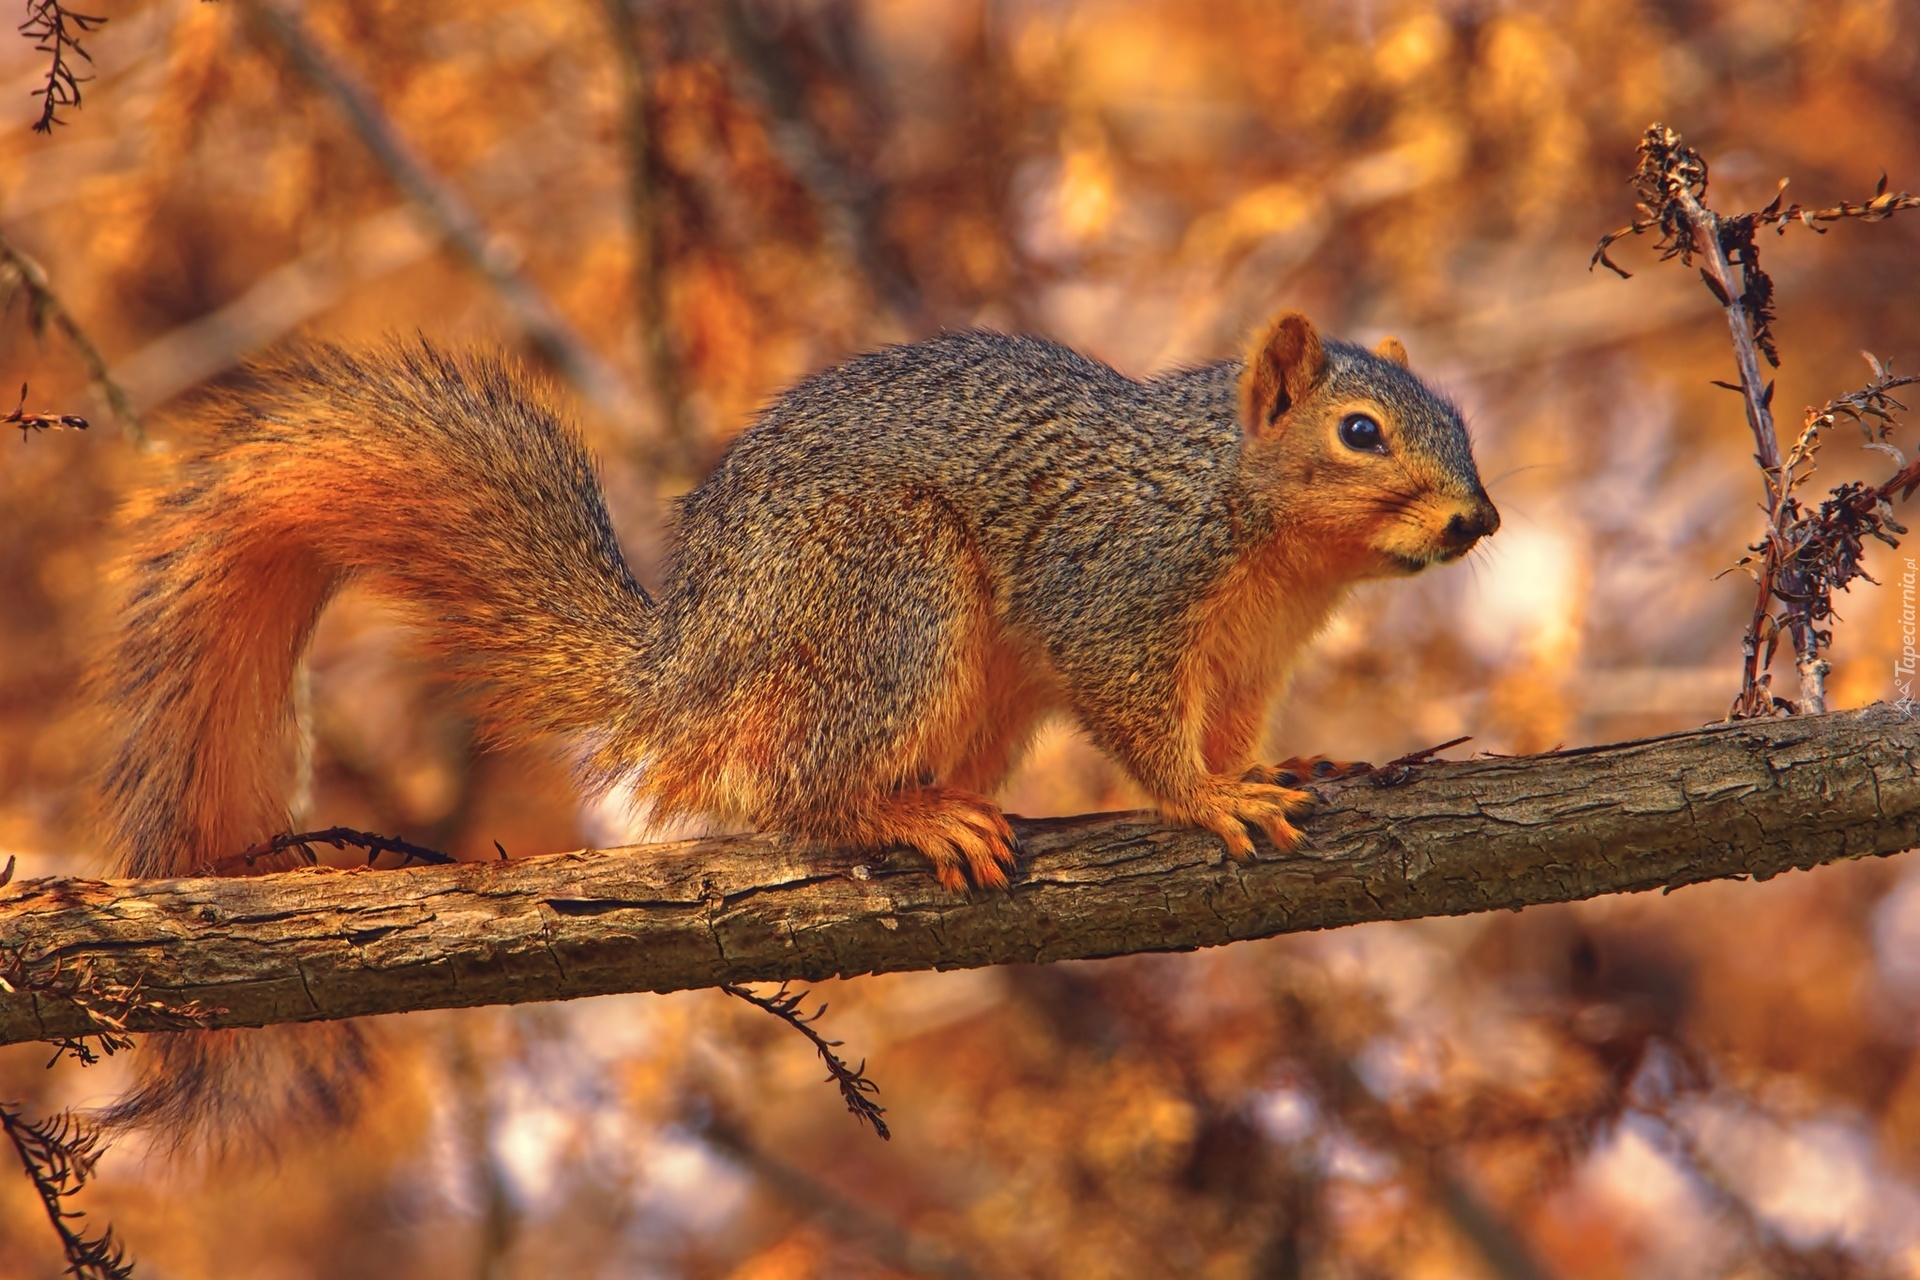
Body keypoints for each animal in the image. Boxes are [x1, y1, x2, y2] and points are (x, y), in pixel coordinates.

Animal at [93, 310, 1497, 1143]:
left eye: (1461, 421)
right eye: (1360, 431)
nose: (1479, 519)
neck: (1259, 527)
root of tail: (697, 663)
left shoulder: (1250, 652)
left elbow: (1231, 726)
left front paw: (1274, 765)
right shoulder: (1118, 588)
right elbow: (1142, 720)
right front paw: (1206, 799)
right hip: (891, 593)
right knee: (801, 790)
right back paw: (908, 817)